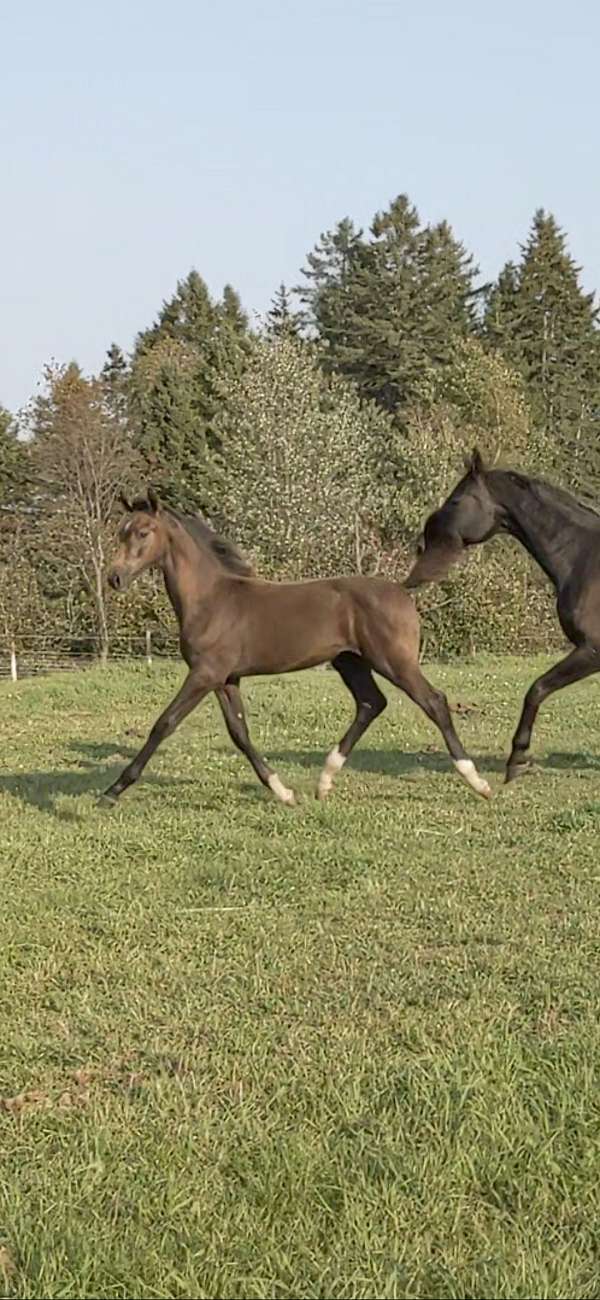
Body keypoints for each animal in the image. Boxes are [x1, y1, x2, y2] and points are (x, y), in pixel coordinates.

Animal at [101, 491, 490, 800]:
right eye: (120, 532)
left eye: (143, 532)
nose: (114, 578)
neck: (211, 599)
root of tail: (401, 589)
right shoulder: (226, 679)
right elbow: (239, 733)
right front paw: (283, 791)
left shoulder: (205, 673)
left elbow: (164, 723)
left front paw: (114, 790)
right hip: (350, 661)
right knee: (371, 703)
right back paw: (325, 781)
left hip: (394, 661)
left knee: (434, 701)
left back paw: (478, 781)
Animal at [402, 452, 600, 780]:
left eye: (456, 500)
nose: (420, 543)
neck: (585, 558)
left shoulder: (591, 650)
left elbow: (537, 689)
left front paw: (516, 758)